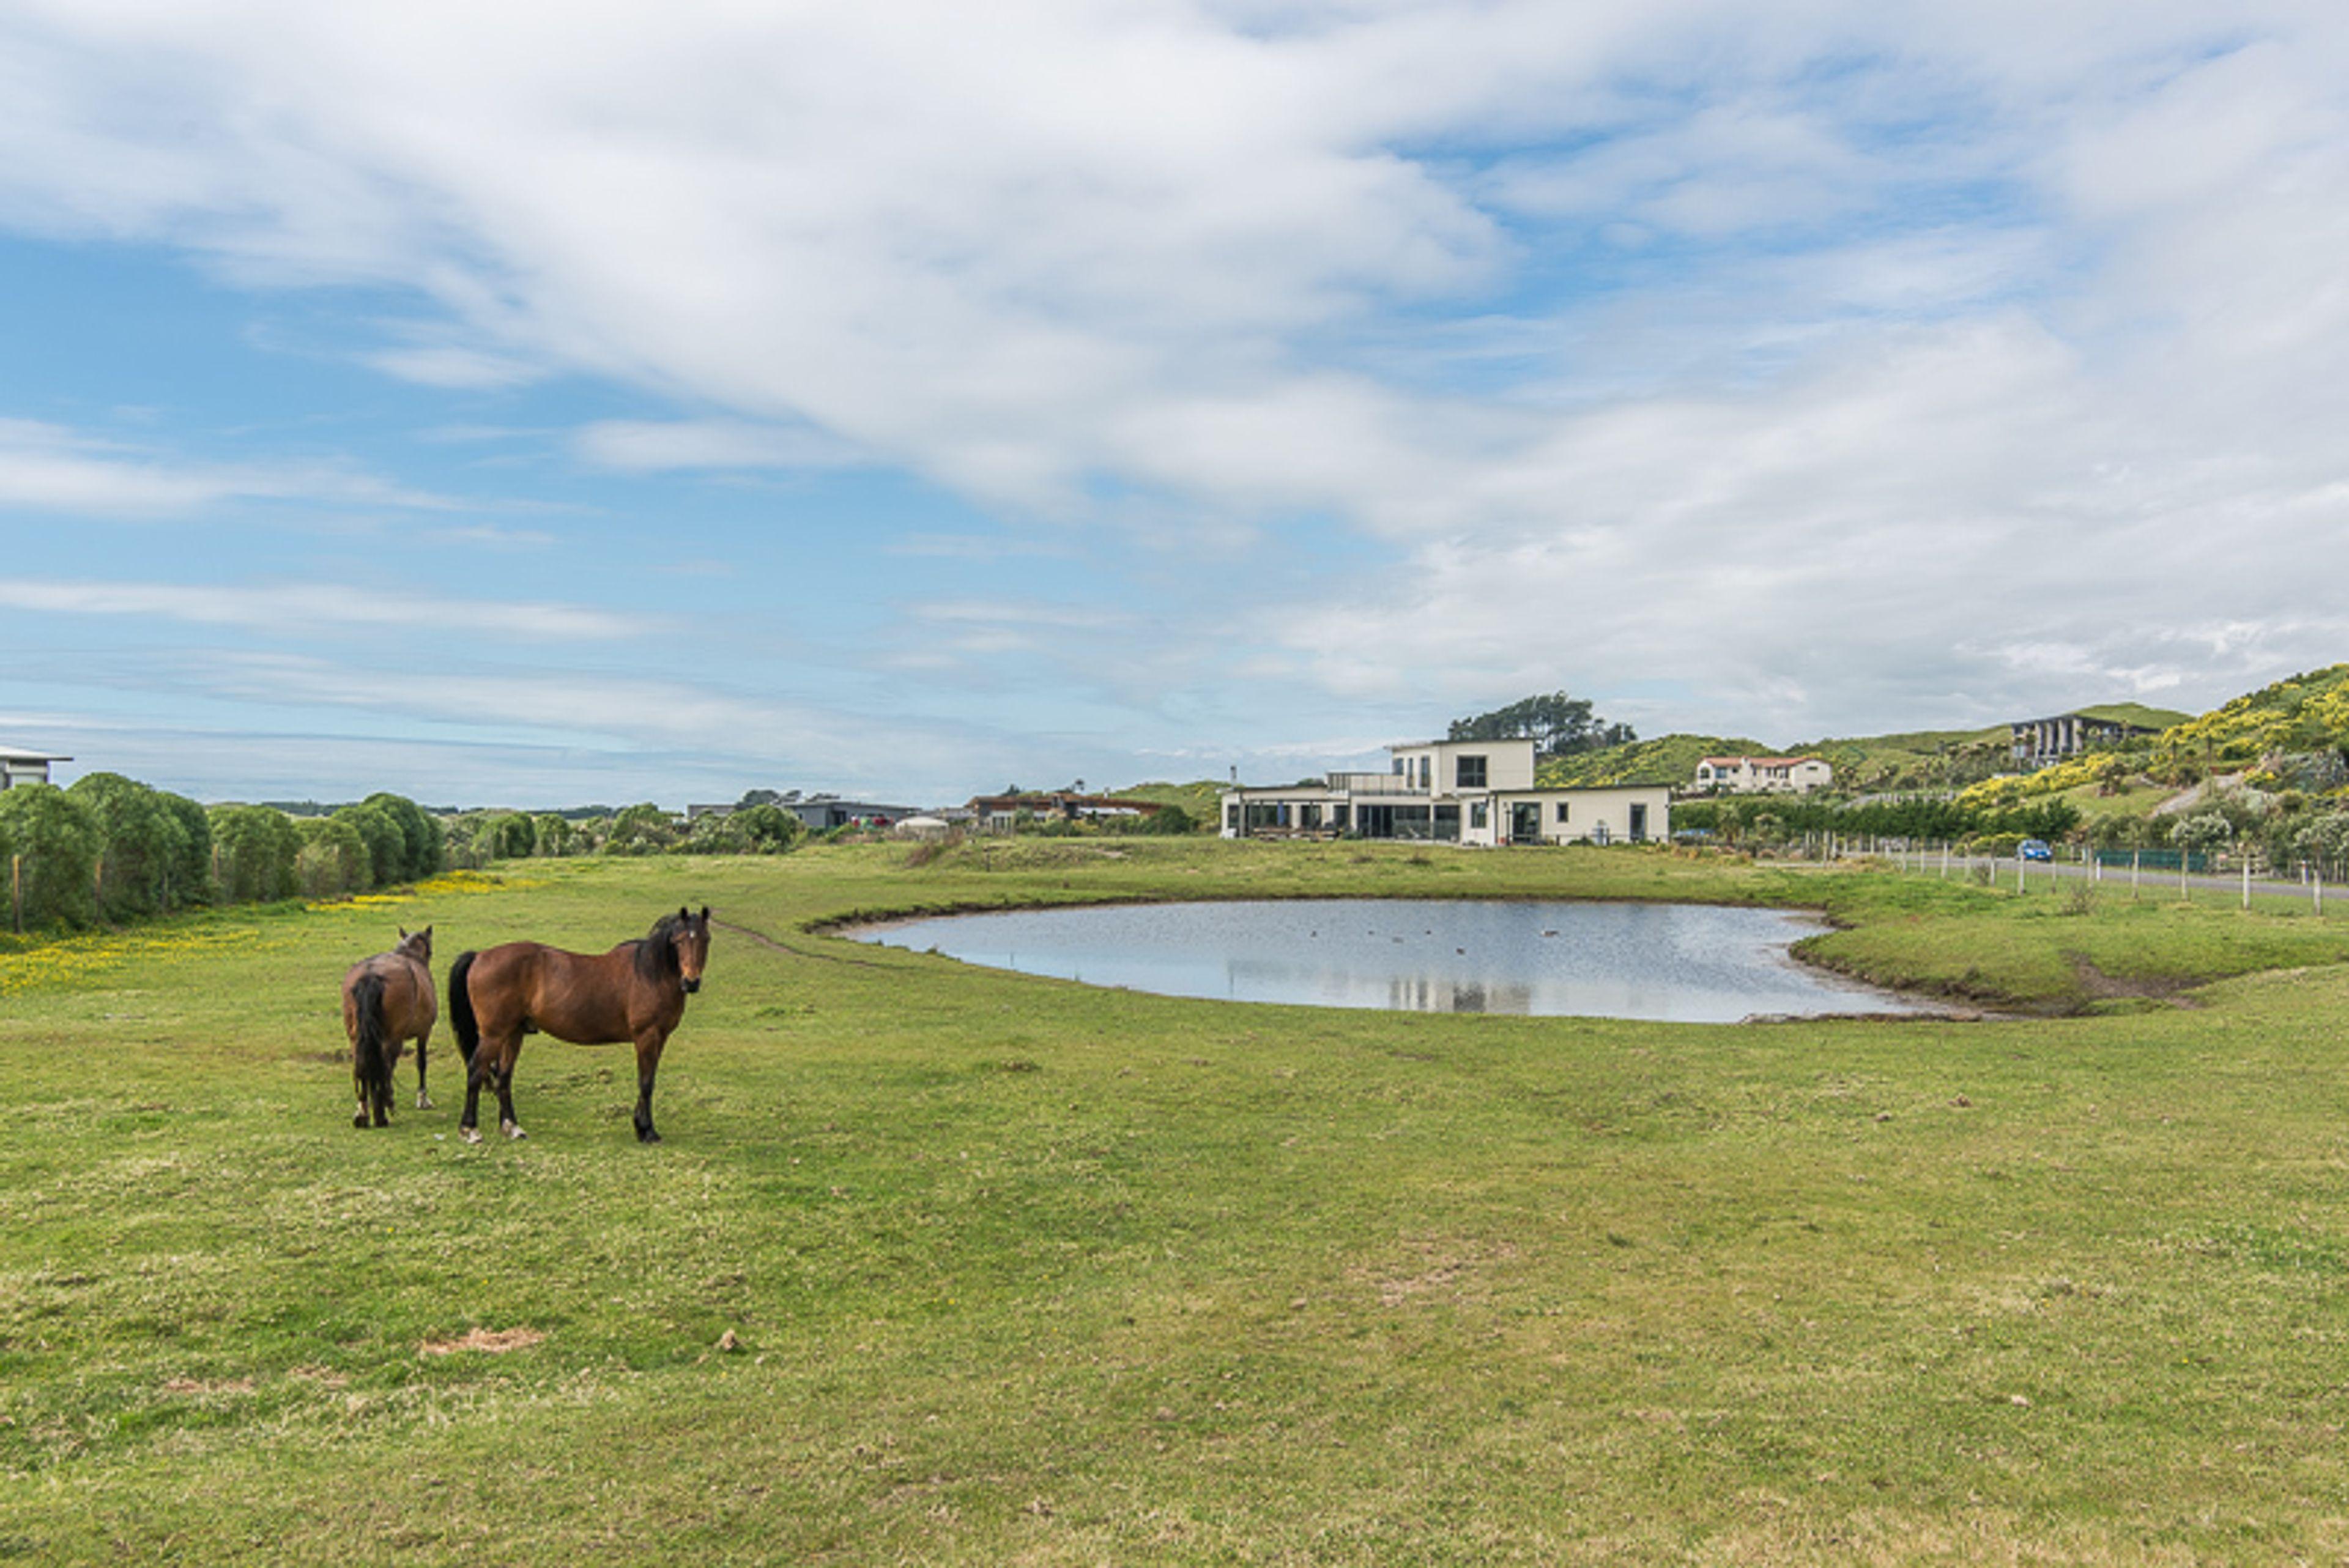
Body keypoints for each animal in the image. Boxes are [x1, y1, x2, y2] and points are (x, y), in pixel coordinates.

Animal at [343, 926, 439, 1133]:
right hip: (393, 1039)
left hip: (356, 1038)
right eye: (430, 952)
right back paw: (381, 1113)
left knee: (361, 1065)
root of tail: (370, 975)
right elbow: (421, 1063)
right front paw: (422, 1099)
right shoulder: (424, 1032)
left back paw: (363, 1113)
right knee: (386, 1066)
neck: (410, 955)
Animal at [443, 902, 709, 1147]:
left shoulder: (660, 1038)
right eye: (679, 941)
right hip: (494, 1035)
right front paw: (647, 1131)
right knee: (476, 1071)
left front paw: (642, 1128)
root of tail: (479, 956)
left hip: (513, 1034)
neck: (650, 973)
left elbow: (649, 1079)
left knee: (504, 1076)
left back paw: (513, 1128)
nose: (691, 982)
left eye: (706, 939)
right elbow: (646, 1083)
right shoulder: (647, 1036)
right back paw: (470, 1130)